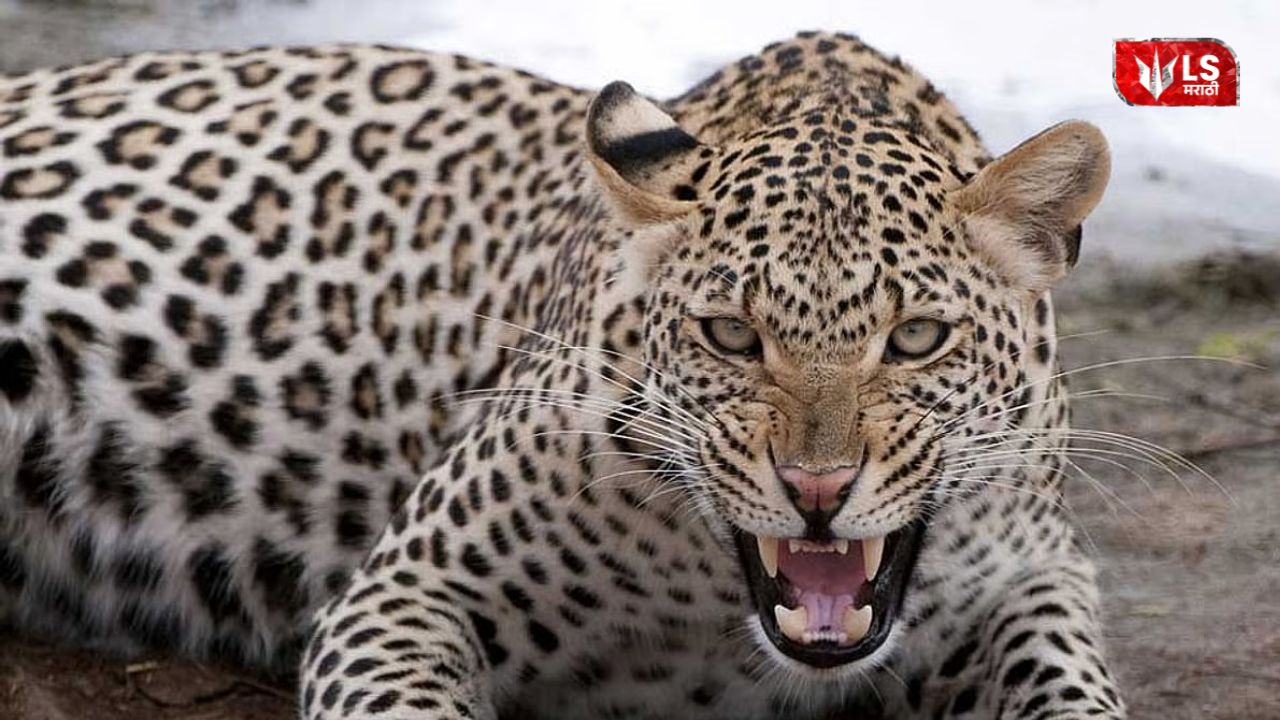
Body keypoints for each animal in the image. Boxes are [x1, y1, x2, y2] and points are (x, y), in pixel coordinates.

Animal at [0, 30, 1123, 720]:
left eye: (917, 336)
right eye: (730, 334)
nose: (815, 490)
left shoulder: (1035, 580)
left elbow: (1073, 690)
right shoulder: (407, 591)